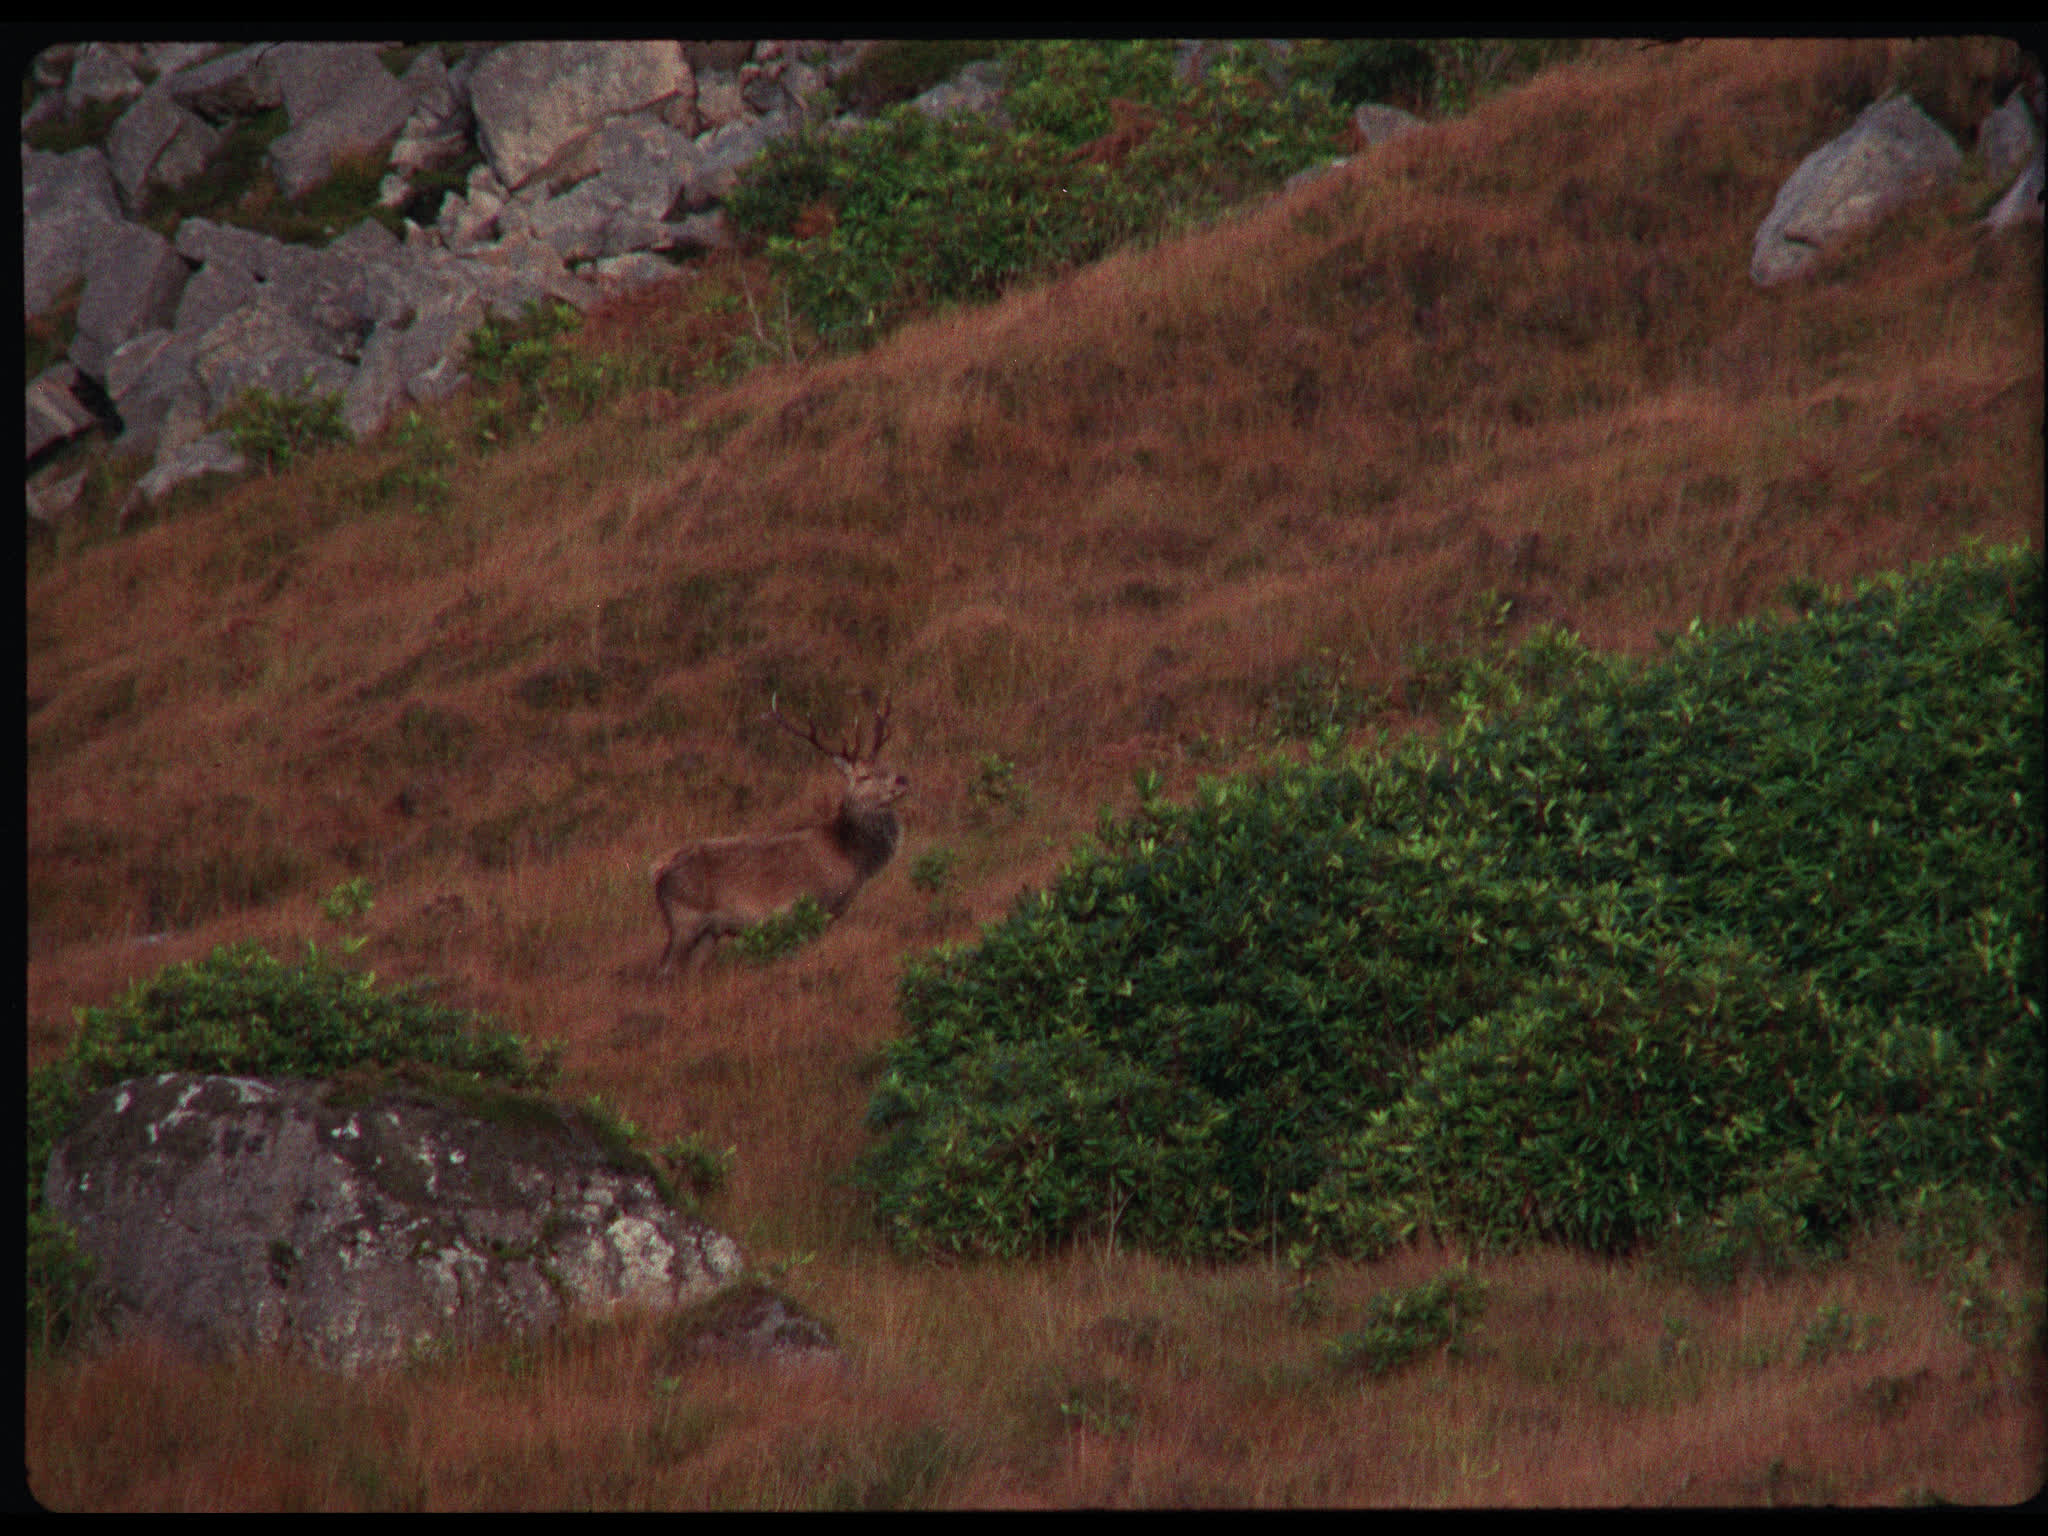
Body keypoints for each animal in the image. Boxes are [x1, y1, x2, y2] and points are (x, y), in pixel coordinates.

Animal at [651, 695, 909, 978]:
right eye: (863, 776)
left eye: (886, 764)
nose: (902, 779)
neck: (851, 857)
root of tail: (657, 871)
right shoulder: (813, 906)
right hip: (684, 918)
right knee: (664, 969)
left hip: (709, 932)